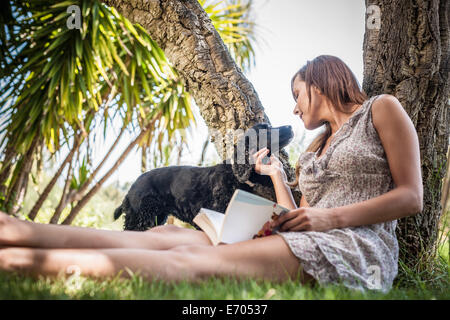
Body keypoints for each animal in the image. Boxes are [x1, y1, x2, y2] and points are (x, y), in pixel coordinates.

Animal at [114, 122, 294, 230]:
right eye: (266, 129)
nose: (290, 126)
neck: (235, 174)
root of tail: (130, 189)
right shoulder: (218, 212)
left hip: (156, 217)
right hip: (140, 218)